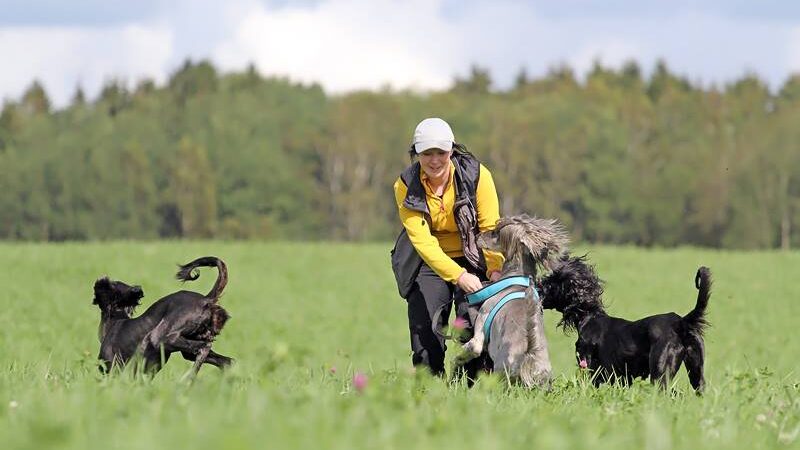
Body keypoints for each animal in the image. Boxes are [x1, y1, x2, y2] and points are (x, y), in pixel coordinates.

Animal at [454, 214, 572, 386]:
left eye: (496, 232)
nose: (476, 236)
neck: (517, 276)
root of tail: (528, 357)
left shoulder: (481, 324)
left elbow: (473, 347)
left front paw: (459, 356)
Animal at [540, 256, 708, 394]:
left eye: (551, 282)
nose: (538, 284)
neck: (589, 317)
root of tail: (680, 322)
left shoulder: (591, 368)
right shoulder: (621, 379)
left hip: (660, 372)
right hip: (696, 370)